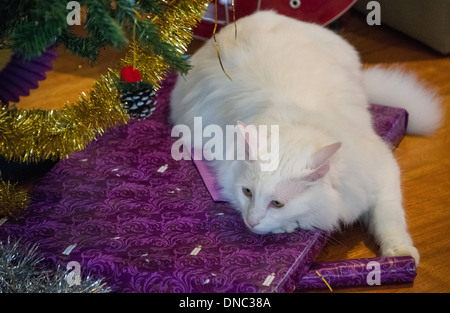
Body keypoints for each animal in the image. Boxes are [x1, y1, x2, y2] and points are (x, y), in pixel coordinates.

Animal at [171, 9, 442, 264]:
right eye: (247, 192)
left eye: (277, 204)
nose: (251, 221)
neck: (299, 120)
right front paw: (287, 225)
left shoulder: (383, 172)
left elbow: (390, 219)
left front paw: (400, 254)